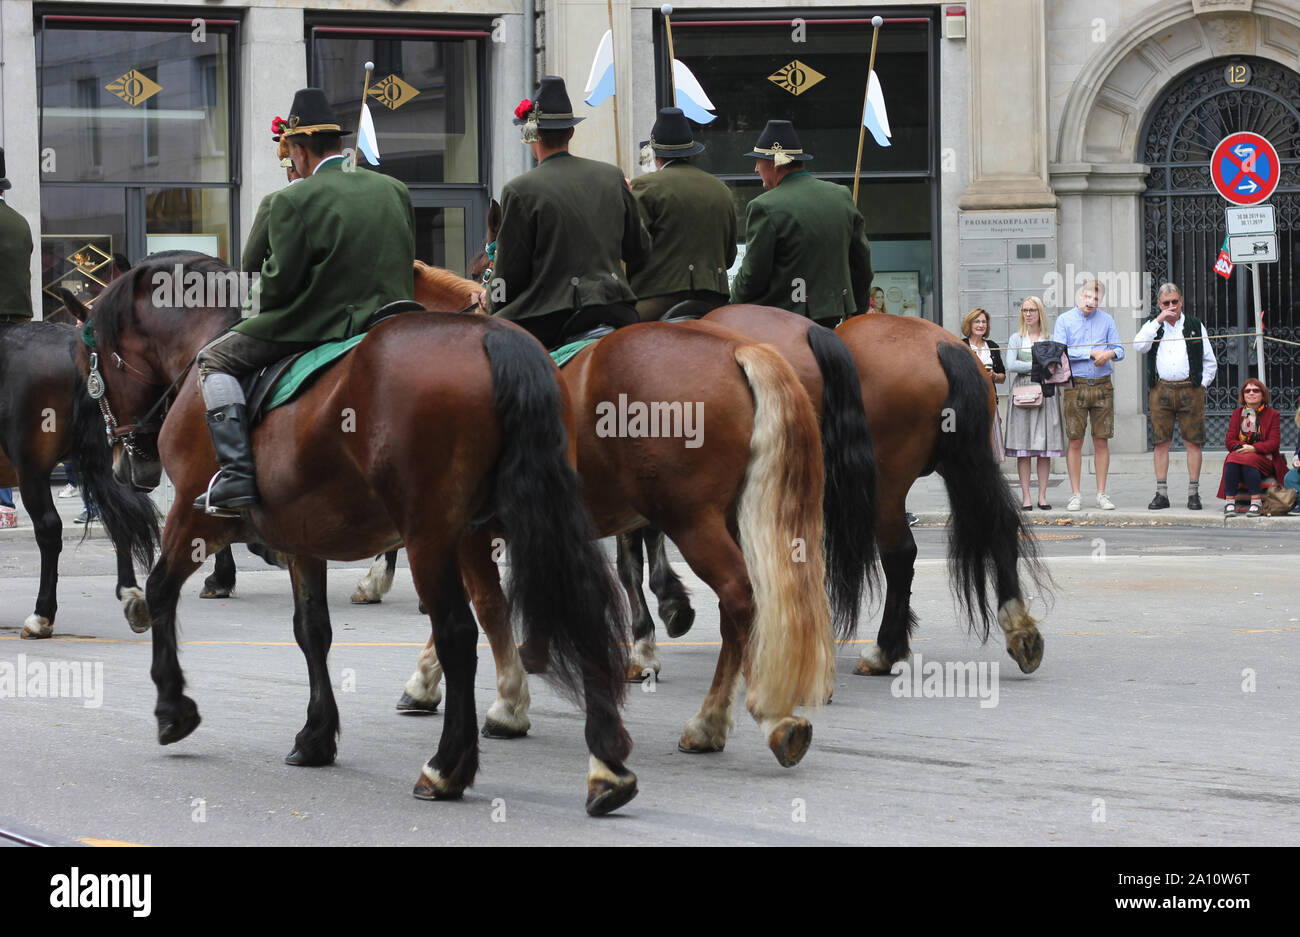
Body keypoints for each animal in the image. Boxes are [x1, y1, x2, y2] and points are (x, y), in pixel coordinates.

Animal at [0, 319, 159, 636]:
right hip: (107, 458)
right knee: (120, 518)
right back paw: (131, 594)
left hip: (32, 470)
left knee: (49, 529)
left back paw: (41, 616)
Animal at [81, 252, 639, 816]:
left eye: (98, 364)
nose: (124, 461)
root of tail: (491, 337)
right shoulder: (301, 539)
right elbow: (312, 630)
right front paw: (316, 737)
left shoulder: (195, 517)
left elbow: (160, 591)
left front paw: (173, 708)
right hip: (533, 519)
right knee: (581, 611)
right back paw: (606, 770)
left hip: (434, 535)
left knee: (458, 631)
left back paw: (446, 766)